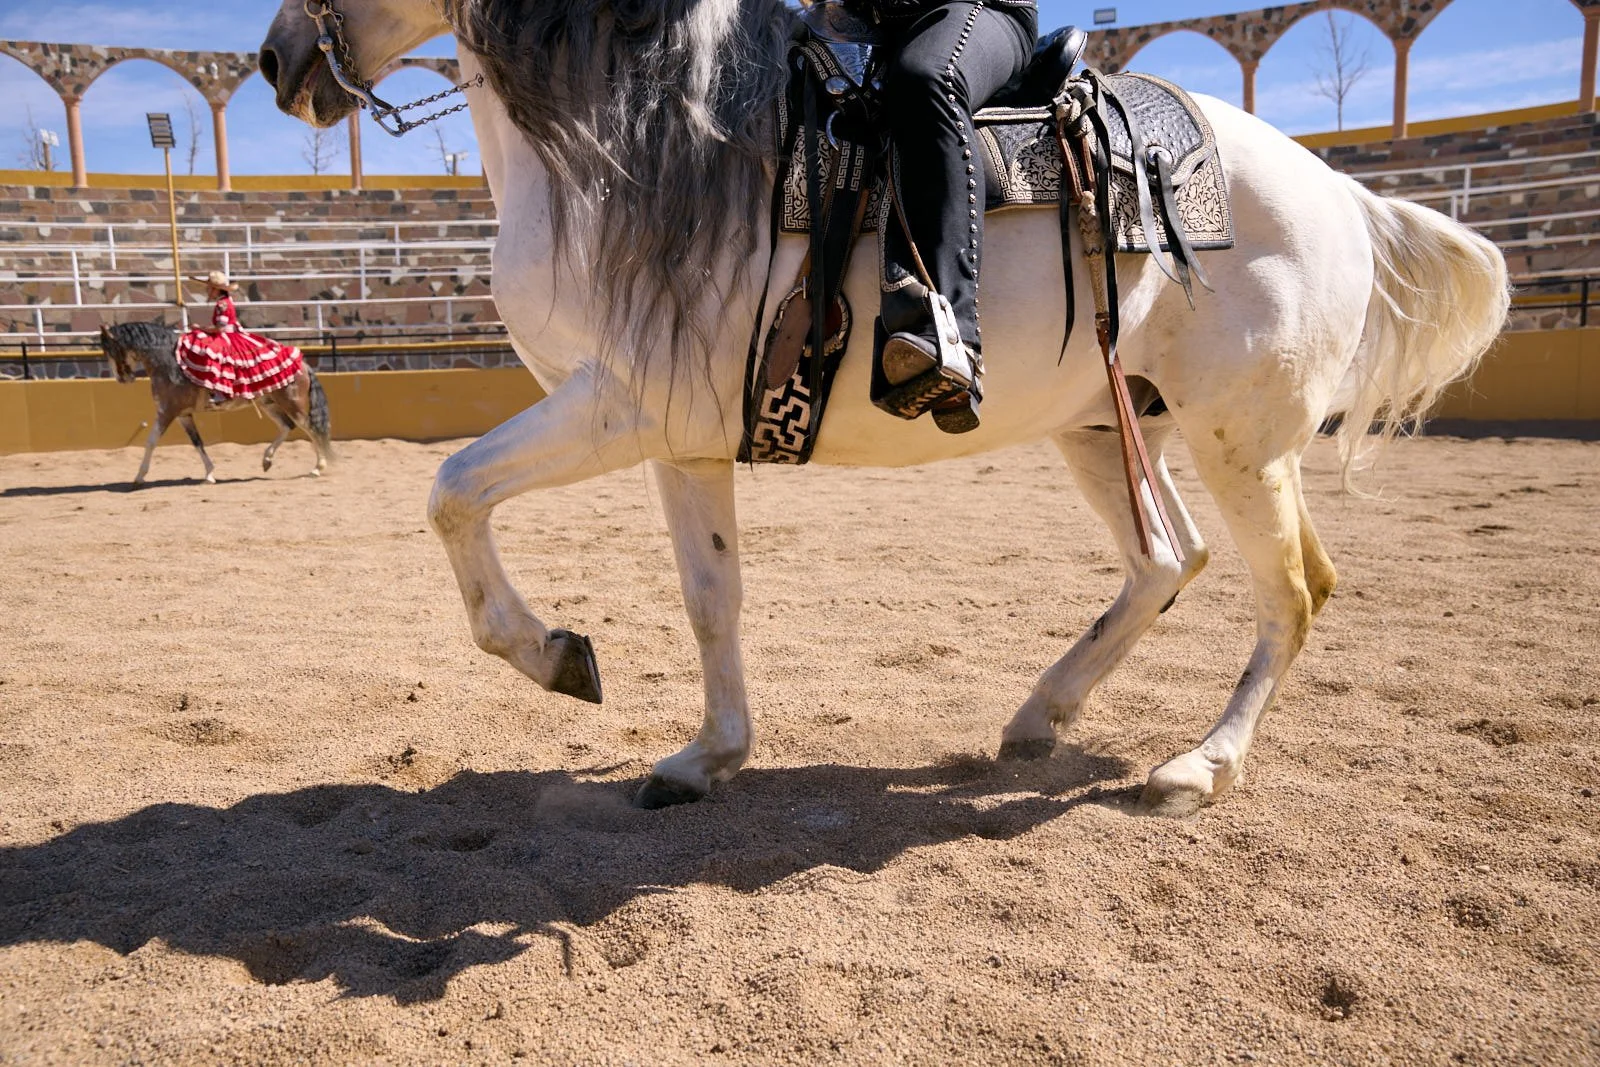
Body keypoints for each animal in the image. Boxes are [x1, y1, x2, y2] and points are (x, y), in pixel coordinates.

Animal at [100, 321, 335, 486]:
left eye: (110, 349)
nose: (121, 378)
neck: (168, 360)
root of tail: (303, 363)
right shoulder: (183, 415)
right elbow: (197, 443)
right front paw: (210, 474)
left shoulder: (167, 412)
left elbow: (151, 441)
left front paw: (139, 476)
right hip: (270, 403)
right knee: (287, 426)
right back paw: (267, 460)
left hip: (293, 404)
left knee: (311, 429)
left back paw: (317, 468)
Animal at [258, 0, 1510, 814]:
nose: (275, 56)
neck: (639, 139)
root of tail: (1337, 187)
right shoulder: (680, 431)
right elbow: (710, 597)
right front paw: (708, 755)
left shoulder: (613, 402)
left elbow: (450, 490)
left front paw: (556, 654)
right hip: (1104, 424)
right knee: (1169, 559)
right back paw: (1039, 714)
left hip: (1238, 437)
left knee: (1291, 588)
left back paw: (1201, 763)